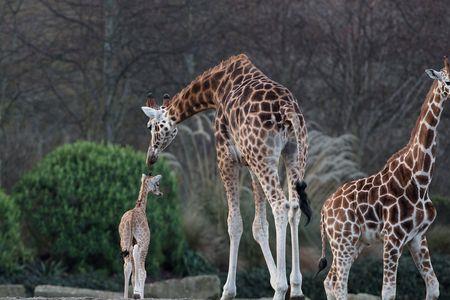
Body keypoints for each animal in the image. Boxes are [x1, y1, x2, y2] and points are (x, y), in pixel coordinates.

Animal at [142, 54, 312, 300]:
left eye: (150, 126)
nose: (151, 157)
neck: (216, 88)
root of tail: (288, 110)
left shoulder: (226, 157)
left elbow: (234, 223)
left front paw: (228, 291)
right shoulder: (250, 162)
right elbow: (259, 226)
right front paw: (273, 280)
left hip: (266, 158)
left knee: (281, 205)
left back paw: (281, 289)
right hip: (294, 154)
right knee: (294, 207)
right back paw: (296, 288)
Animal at [318, 57, 450, 298]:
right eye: (446, 80)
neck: (420, 179)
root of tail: (324, 210)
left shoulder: (418, 237)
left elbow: (434, 287)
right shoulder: (393, 237)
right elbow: (388, 292)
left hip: (354, 243)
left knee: (329, 281)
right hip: (343, 241)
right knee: (339, 284)